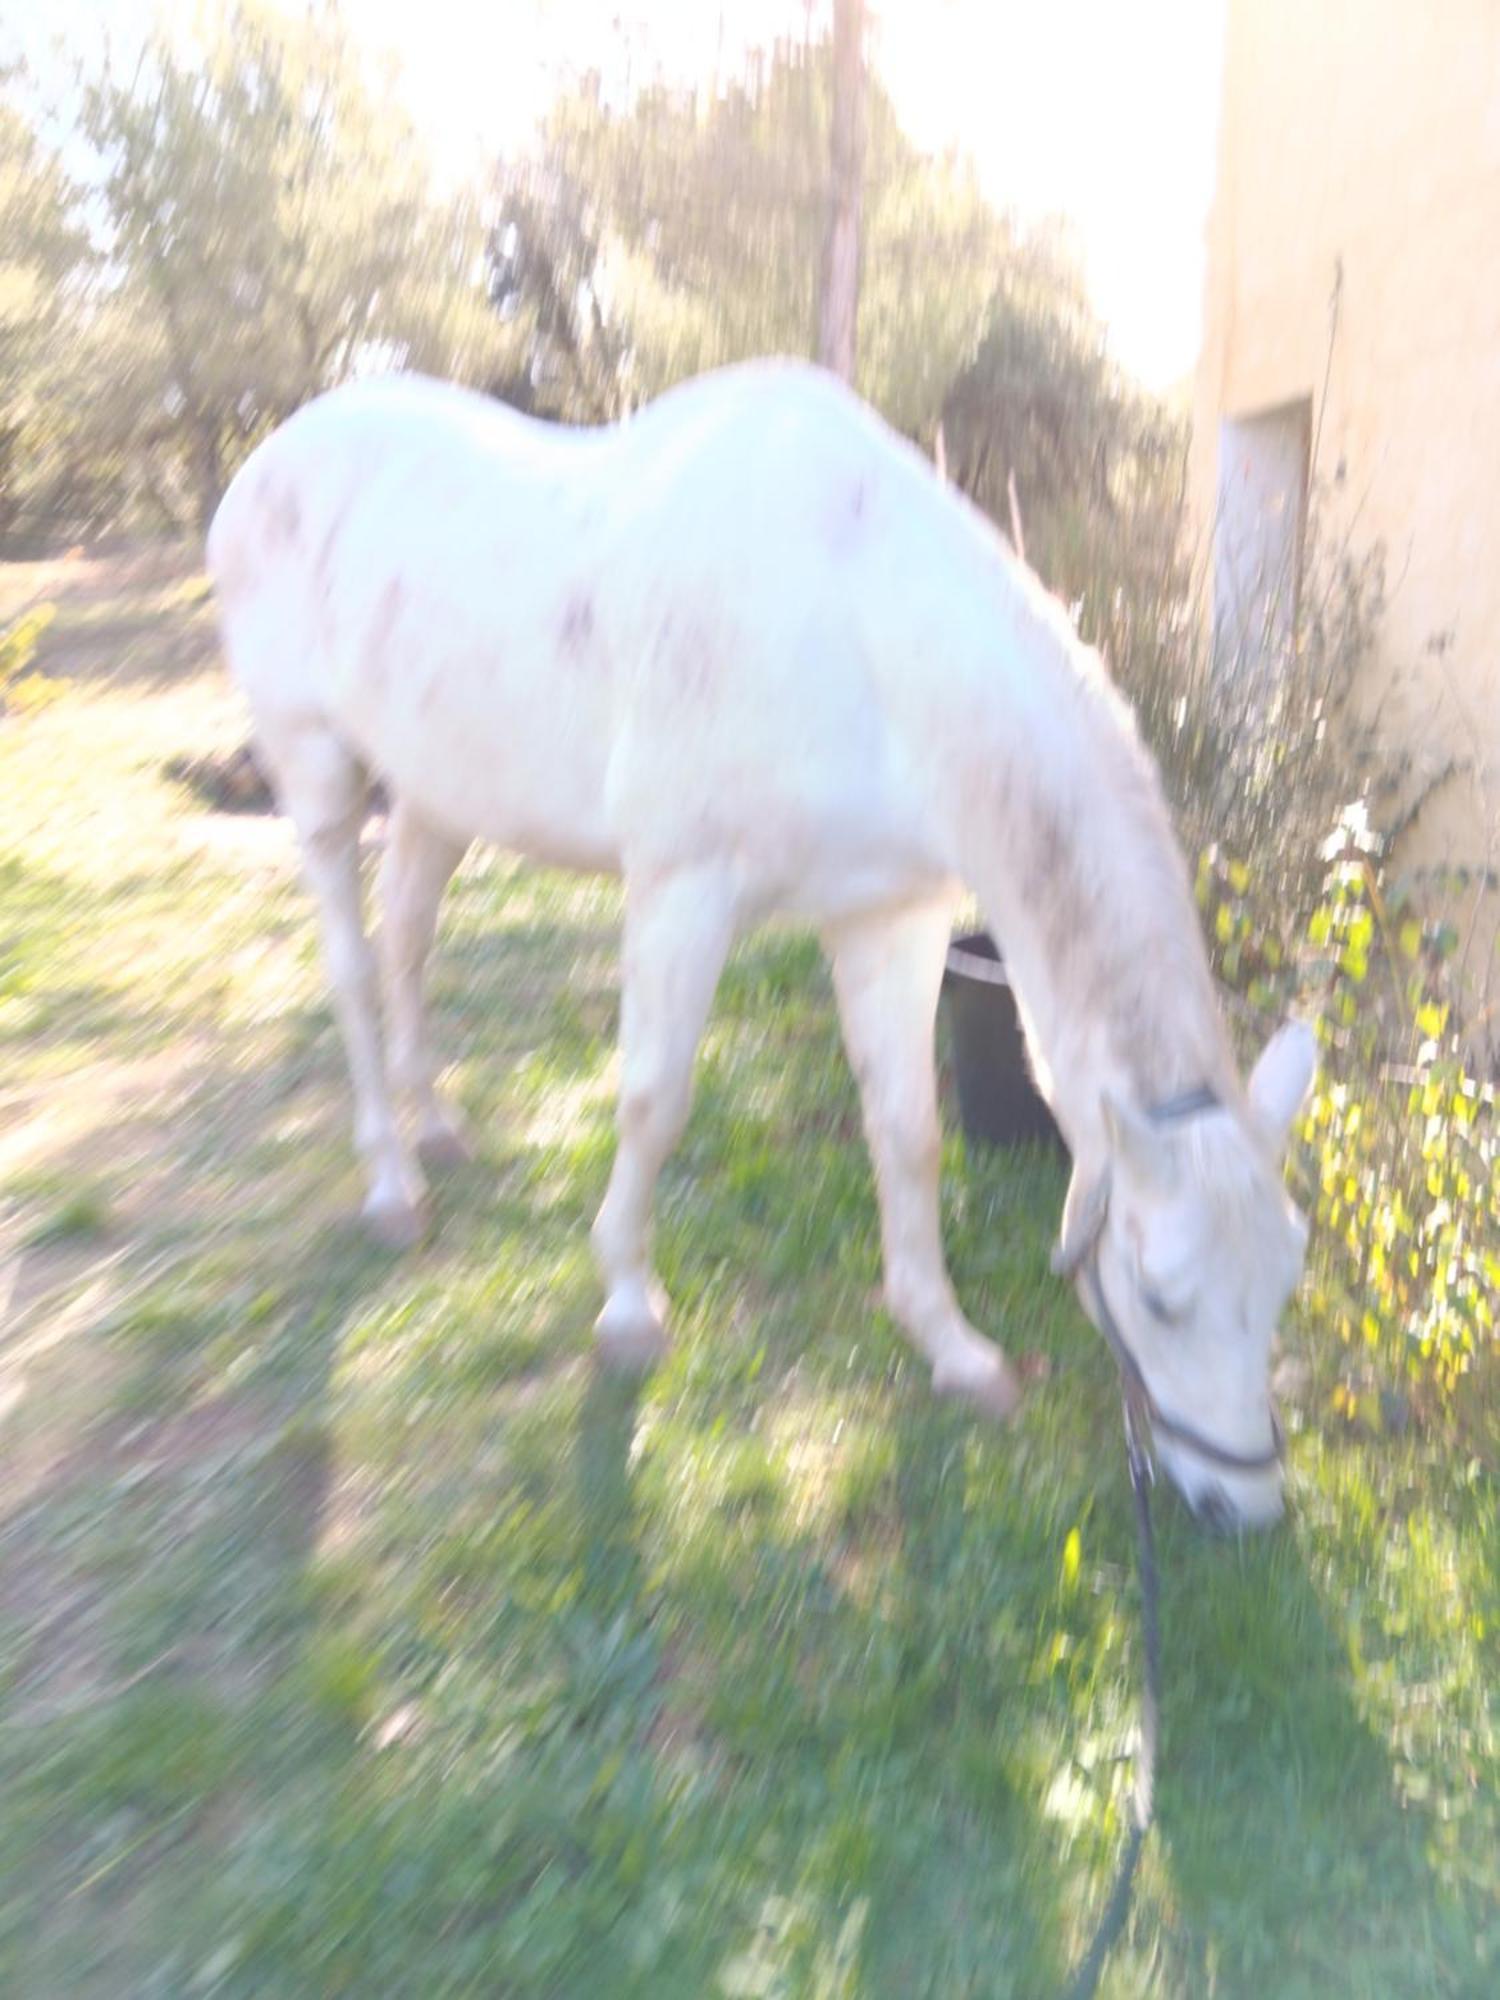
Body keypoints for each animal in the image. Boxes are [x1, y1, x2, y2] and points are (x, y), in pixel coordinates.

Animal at [206, 360, 1312, 1528]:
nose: (1240, 1506)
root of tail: (263, 464)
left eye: (1284, 1281)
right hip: (318, 774)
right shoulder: (681, 892)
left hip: (440, 789)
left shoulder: (890, 920)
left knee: (410, 940)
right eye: (1157, 1293)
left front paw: (952, 1348)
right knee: (355, 968)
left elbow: (908, 1133)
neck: (866, 639)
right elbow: (652, 1102)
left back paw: (440, 1129)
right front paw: (628, 1307)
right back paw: (391, 1183)